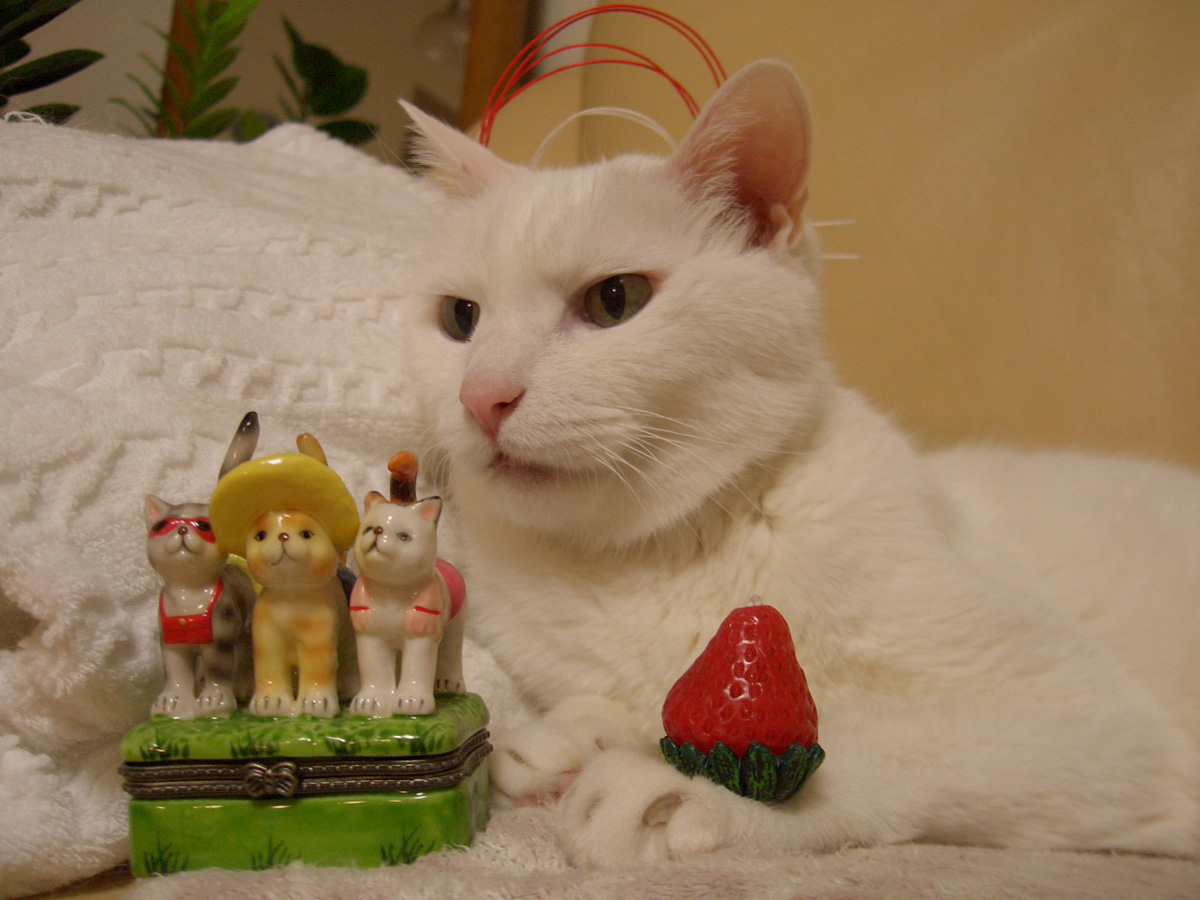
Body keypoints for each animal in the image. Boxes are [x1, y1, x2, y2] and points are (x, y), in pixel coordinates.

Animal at [399, 59, 1200, 865]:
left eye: (614, 300)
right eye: (461, 318)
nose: (482, 396)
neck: (649, 558)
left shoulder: (1092, 719)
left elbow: (867, 745)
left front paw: (677, 793)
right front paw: (576, 734)